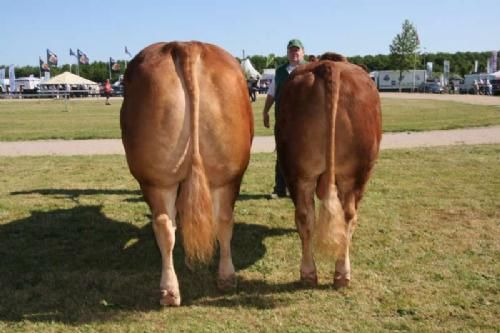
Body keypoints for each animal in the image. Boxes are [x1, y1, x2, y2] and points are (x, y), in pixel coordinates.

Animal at [120, 42, 254, 306]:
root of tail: (185, 45)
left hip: (155, 180)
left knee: (164, 224)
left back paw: (169, 290)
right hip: (228, 174)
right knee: (222, 220)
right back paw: (223, 278)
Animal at [276, 57, 380, 288]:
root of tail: (328, 64)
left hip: (298, 171)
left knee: (306, 216)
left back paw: (310, 274)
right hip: (356, 175)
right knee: (349, 216)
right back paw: (341, 274)